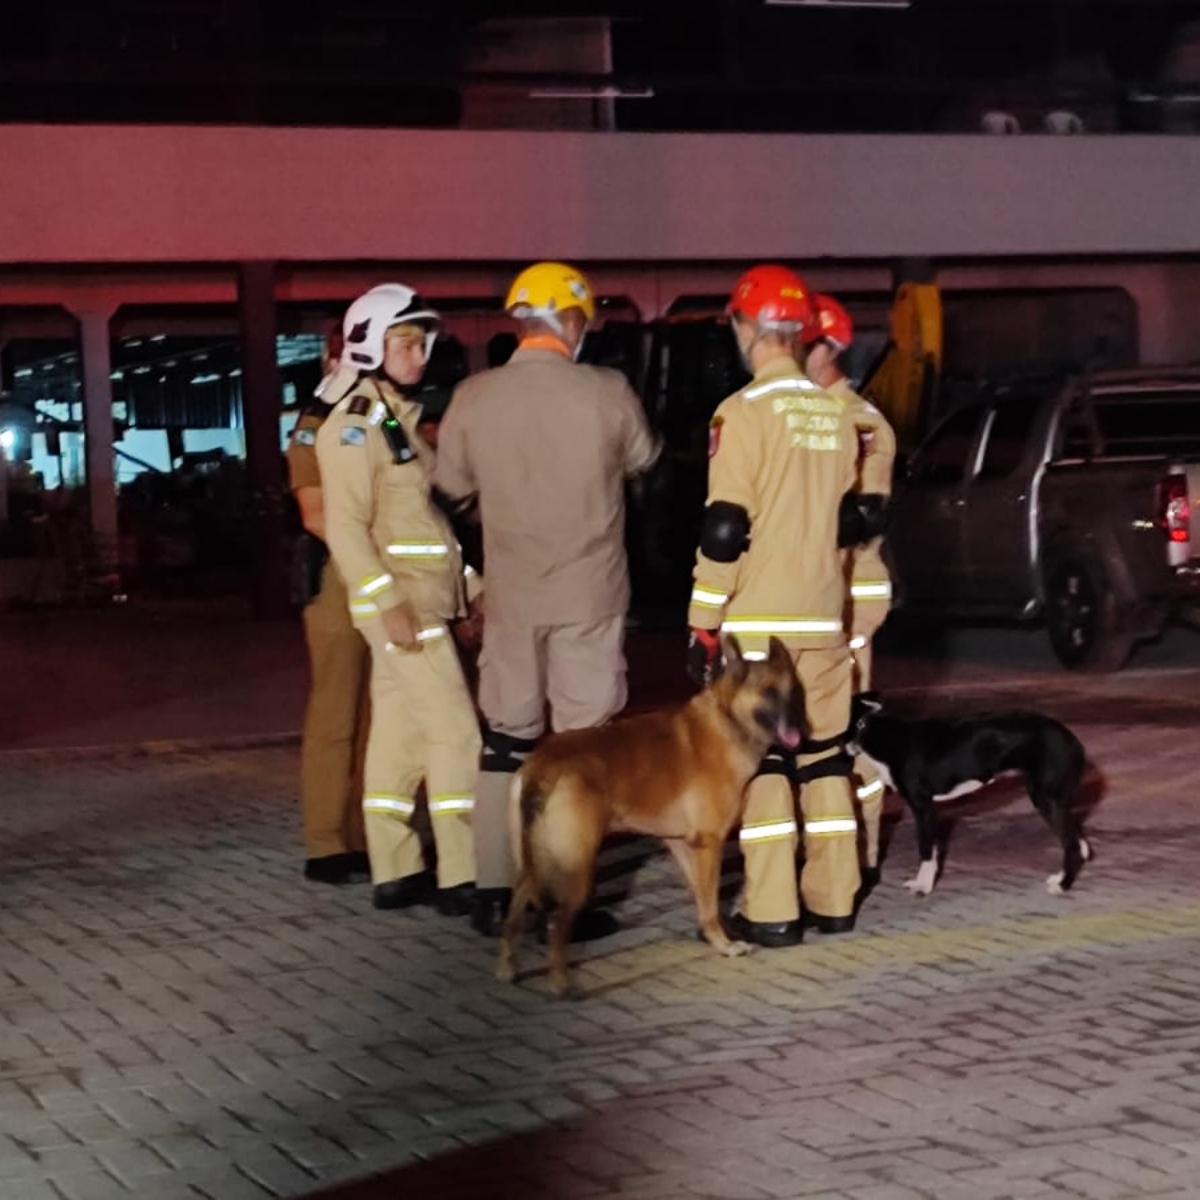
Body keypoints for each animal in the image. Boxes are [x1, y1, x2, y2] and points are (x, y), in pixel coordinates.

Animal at [496, 633, 806, 998]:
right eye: (769, 693)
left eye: (793, 692)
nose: (799, 727)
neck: (726, 718)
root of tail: (542, 765)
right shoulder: (709, 845)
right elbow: (710, 901)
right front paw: (725, 944)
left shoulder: (682, 845)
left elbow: (704, 901)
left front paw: (714, 938)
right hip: (575, 868)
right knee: (557, 923)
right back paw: (561, 983)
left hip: (529, 869)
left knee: (513, 919)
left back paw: (506, 971)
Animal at [849, 696, 1094, 892]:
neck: (877, 733)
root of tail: (1072, 740)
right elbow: (935, 850)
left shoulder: (923, 808)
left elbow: (926, 850)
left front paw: (923, 886)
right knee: (1078, 840)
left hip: (1045, 799)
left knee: (1072, 845)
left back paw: (1062, 885)